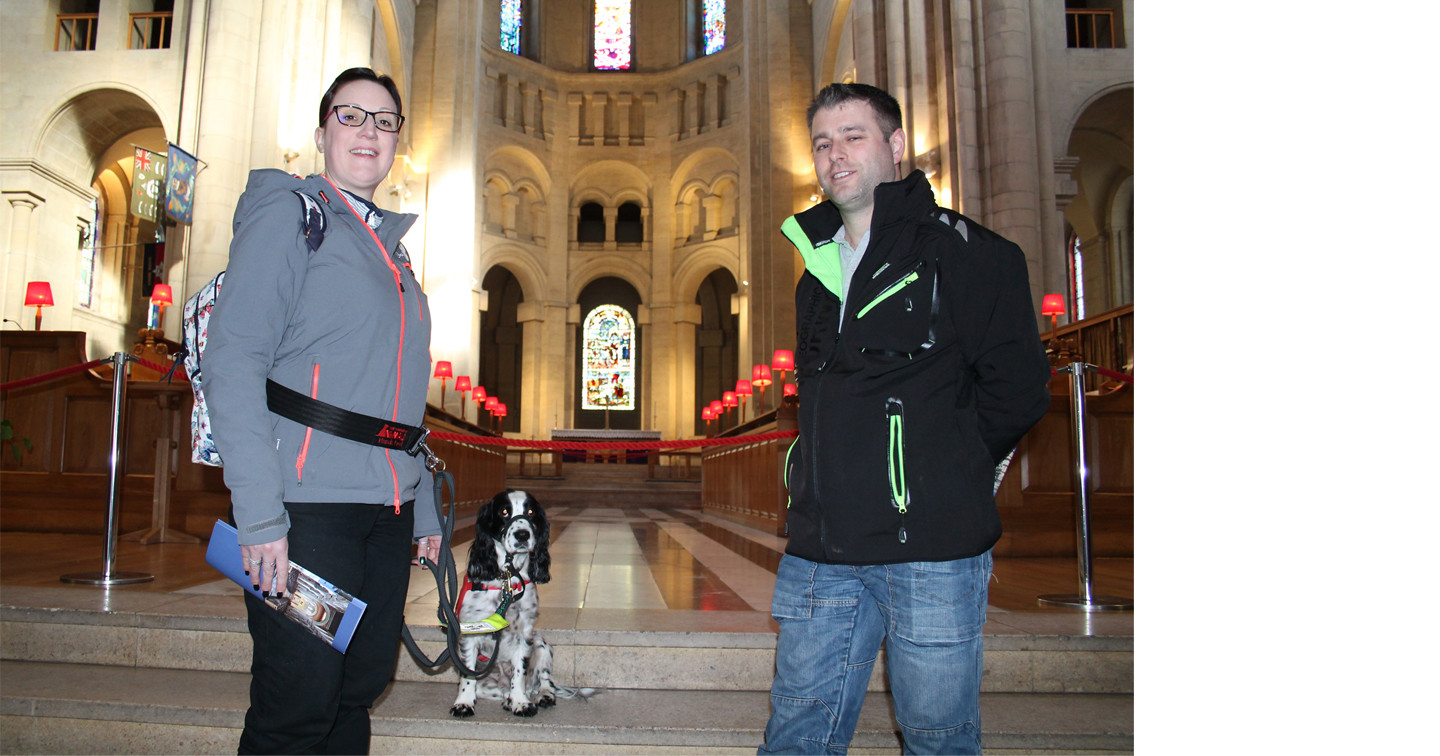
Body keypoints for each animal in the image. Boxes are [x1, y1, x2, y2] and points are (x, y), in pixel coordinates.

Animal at [449, 489, 555, 714]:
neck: (506, 578)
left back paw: (542, 696)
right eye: (504, 512)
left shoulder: (525, 632)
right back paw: (506, 698)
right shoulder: (471, 630)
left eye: (531, 512)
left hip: (541, 644)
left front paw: (521, 702)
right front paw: (463, 703)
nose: (522, 535)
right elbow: (468, 674)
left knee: (542, 680)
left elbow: (519, 672)